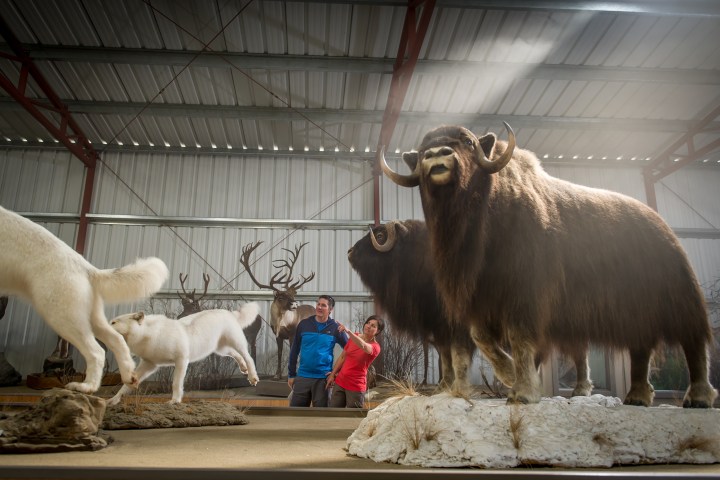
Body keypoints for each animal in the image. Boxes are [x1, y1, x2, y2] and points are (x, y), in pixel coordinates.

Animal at [240, 241, 315, 380]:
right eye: (281, 297)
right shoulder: (278, 335)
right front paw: (277, 375)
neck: (281, 322)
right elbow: (280, 353)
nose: (295, 304)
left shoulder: (292, 334)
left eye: (292, 296)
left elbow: (292, 353)